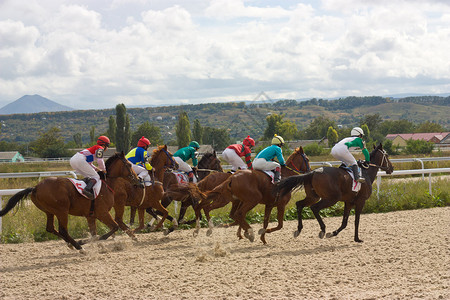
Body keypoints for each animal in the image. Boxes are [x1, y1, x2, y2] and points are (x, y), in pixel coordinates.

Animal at [0, 151, 140, 252]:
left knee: (50, 228)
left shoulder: (91, 215)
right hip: (62, 210)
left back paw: (72, 244)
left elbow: (94, 233)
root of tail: (35, 188)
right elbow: (114, 227)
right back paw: (79, 247)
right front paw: (85, 242)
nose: (137, 179)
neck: (107, 184)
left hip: (49, 211)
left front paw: (97, 245)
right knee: (63, 230)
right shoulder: (102, 213)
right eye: (129, 165)